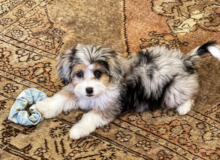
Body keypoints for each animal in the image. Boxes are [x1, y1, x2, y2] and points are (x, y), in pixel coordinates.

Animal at [35, 42, 220, 139]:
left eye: (98, 73)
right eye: (79, 74)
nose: (89, 90)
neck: (102, 90)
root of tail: (186, 61)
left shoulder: (109, 107)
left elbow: (90, 117)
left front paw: (77, 130)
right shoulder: (76, 91)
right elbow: (60, 98)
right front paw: (42, 107)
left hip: (173, 91)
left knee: (191, 94)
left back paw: (183, 108)